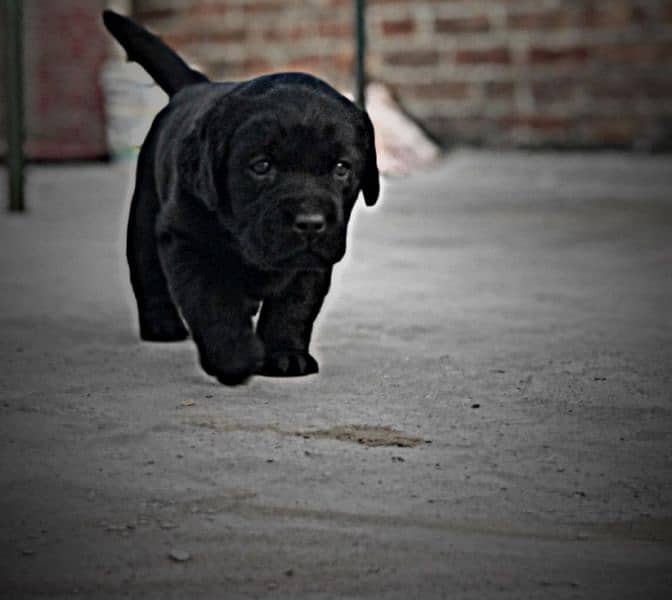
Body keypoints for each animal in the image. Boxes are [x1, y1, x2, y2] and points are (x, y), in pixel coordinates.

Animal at [103, 11, 380, 384]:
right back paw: (162, 325)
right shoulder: (186, 240)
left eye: (341, 168)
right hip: (145, 216)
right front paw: (235, 357)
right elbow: (213, 301)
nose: (310, 223)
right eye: (261, 166)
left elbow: (294, 306)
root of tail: (193, 85)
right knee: (148, 272)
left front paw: (285, 356)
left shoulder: (310, 262)